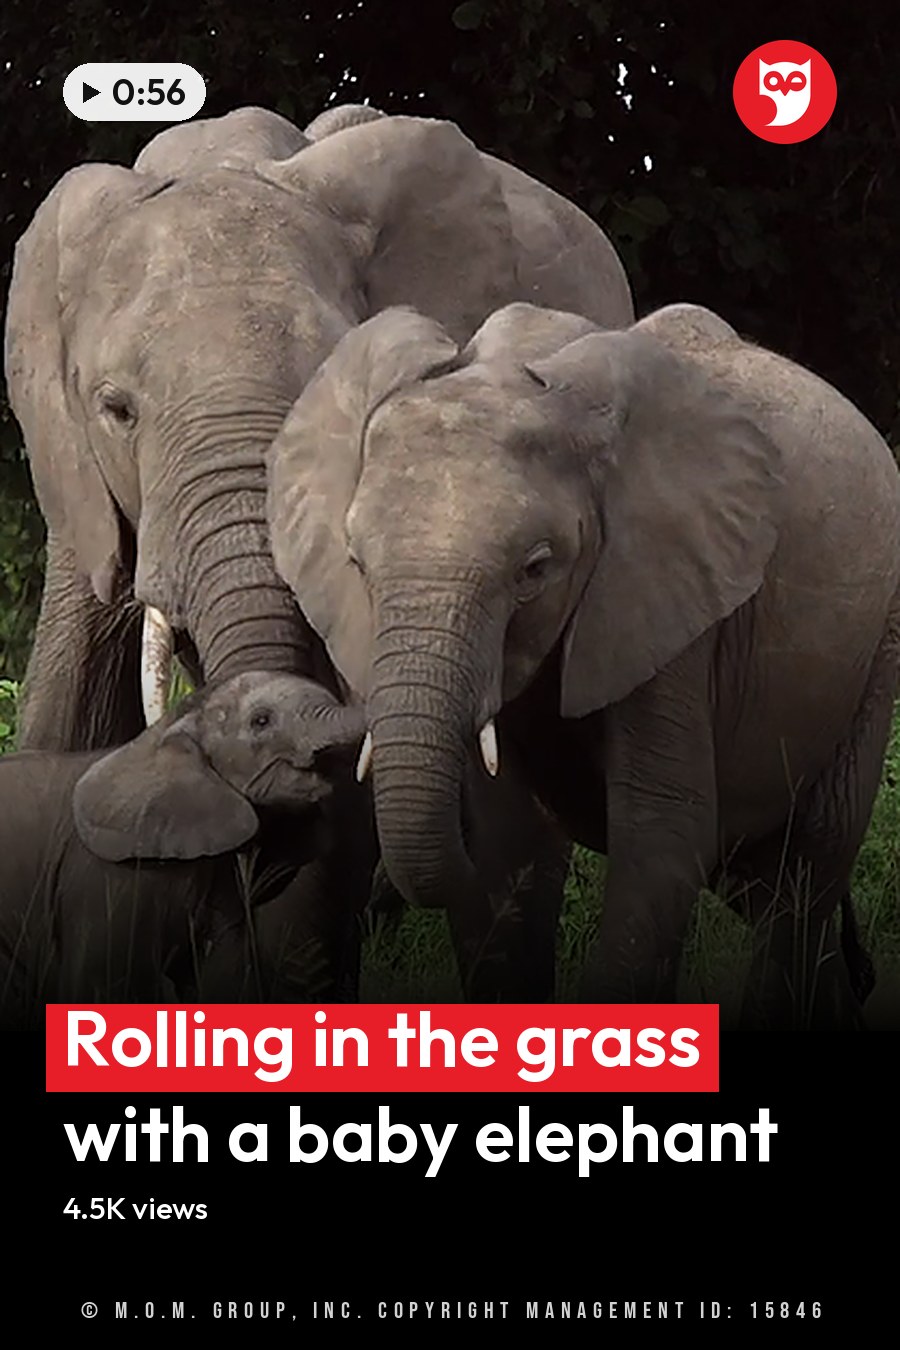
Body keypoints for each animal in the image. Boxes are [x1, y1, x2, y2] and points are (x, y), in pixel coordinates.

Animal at [266, 300, 900, 1026]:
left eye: (535, 569)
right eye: (357, 563)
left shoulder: (668, 599)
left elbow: (661, 842)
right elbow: (509, 847)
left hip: (877, 647)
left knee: (810, 865)